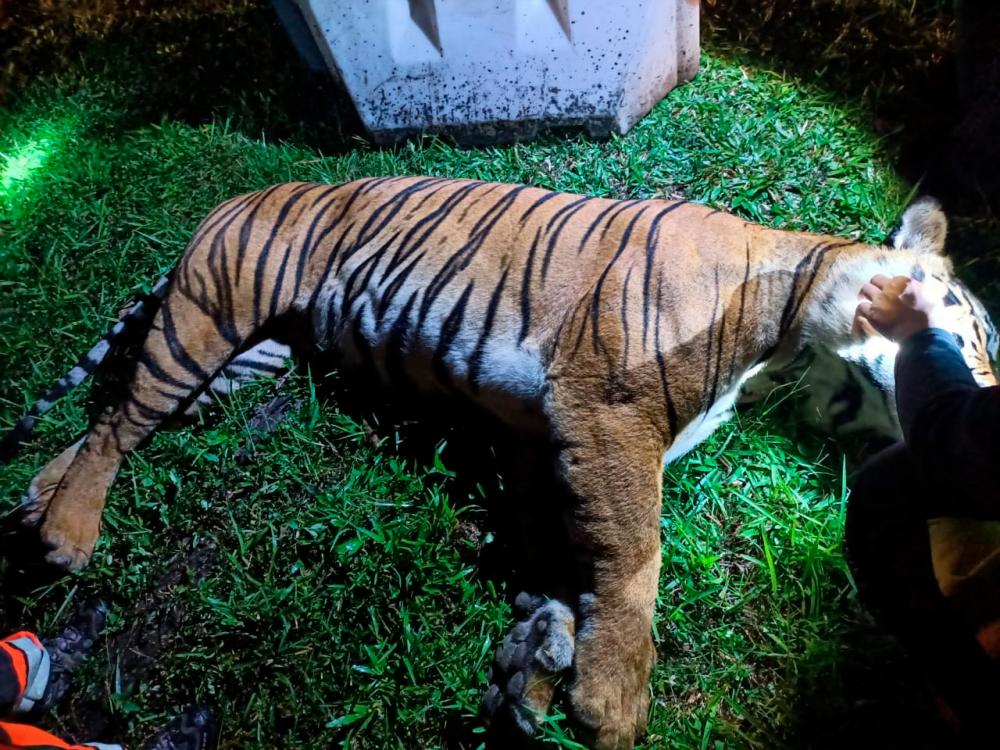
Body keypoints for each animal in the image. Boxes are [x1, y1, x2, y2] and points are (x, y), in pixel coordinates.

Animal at [2, 177, 996, 749]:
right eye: (981, 334)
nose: (988, 392)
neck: (788, 331)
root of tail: (234, 202)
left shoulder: (545, 440)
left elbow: (563, 550)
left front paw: (536, 663)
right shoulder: (606, 411)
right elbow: (634, 554)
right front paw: (611, 699)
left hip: (241, 362)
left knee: (113, 417)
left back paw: (40, 500)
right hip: (212, 310)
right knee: (123, 418)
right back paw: (67, 535)